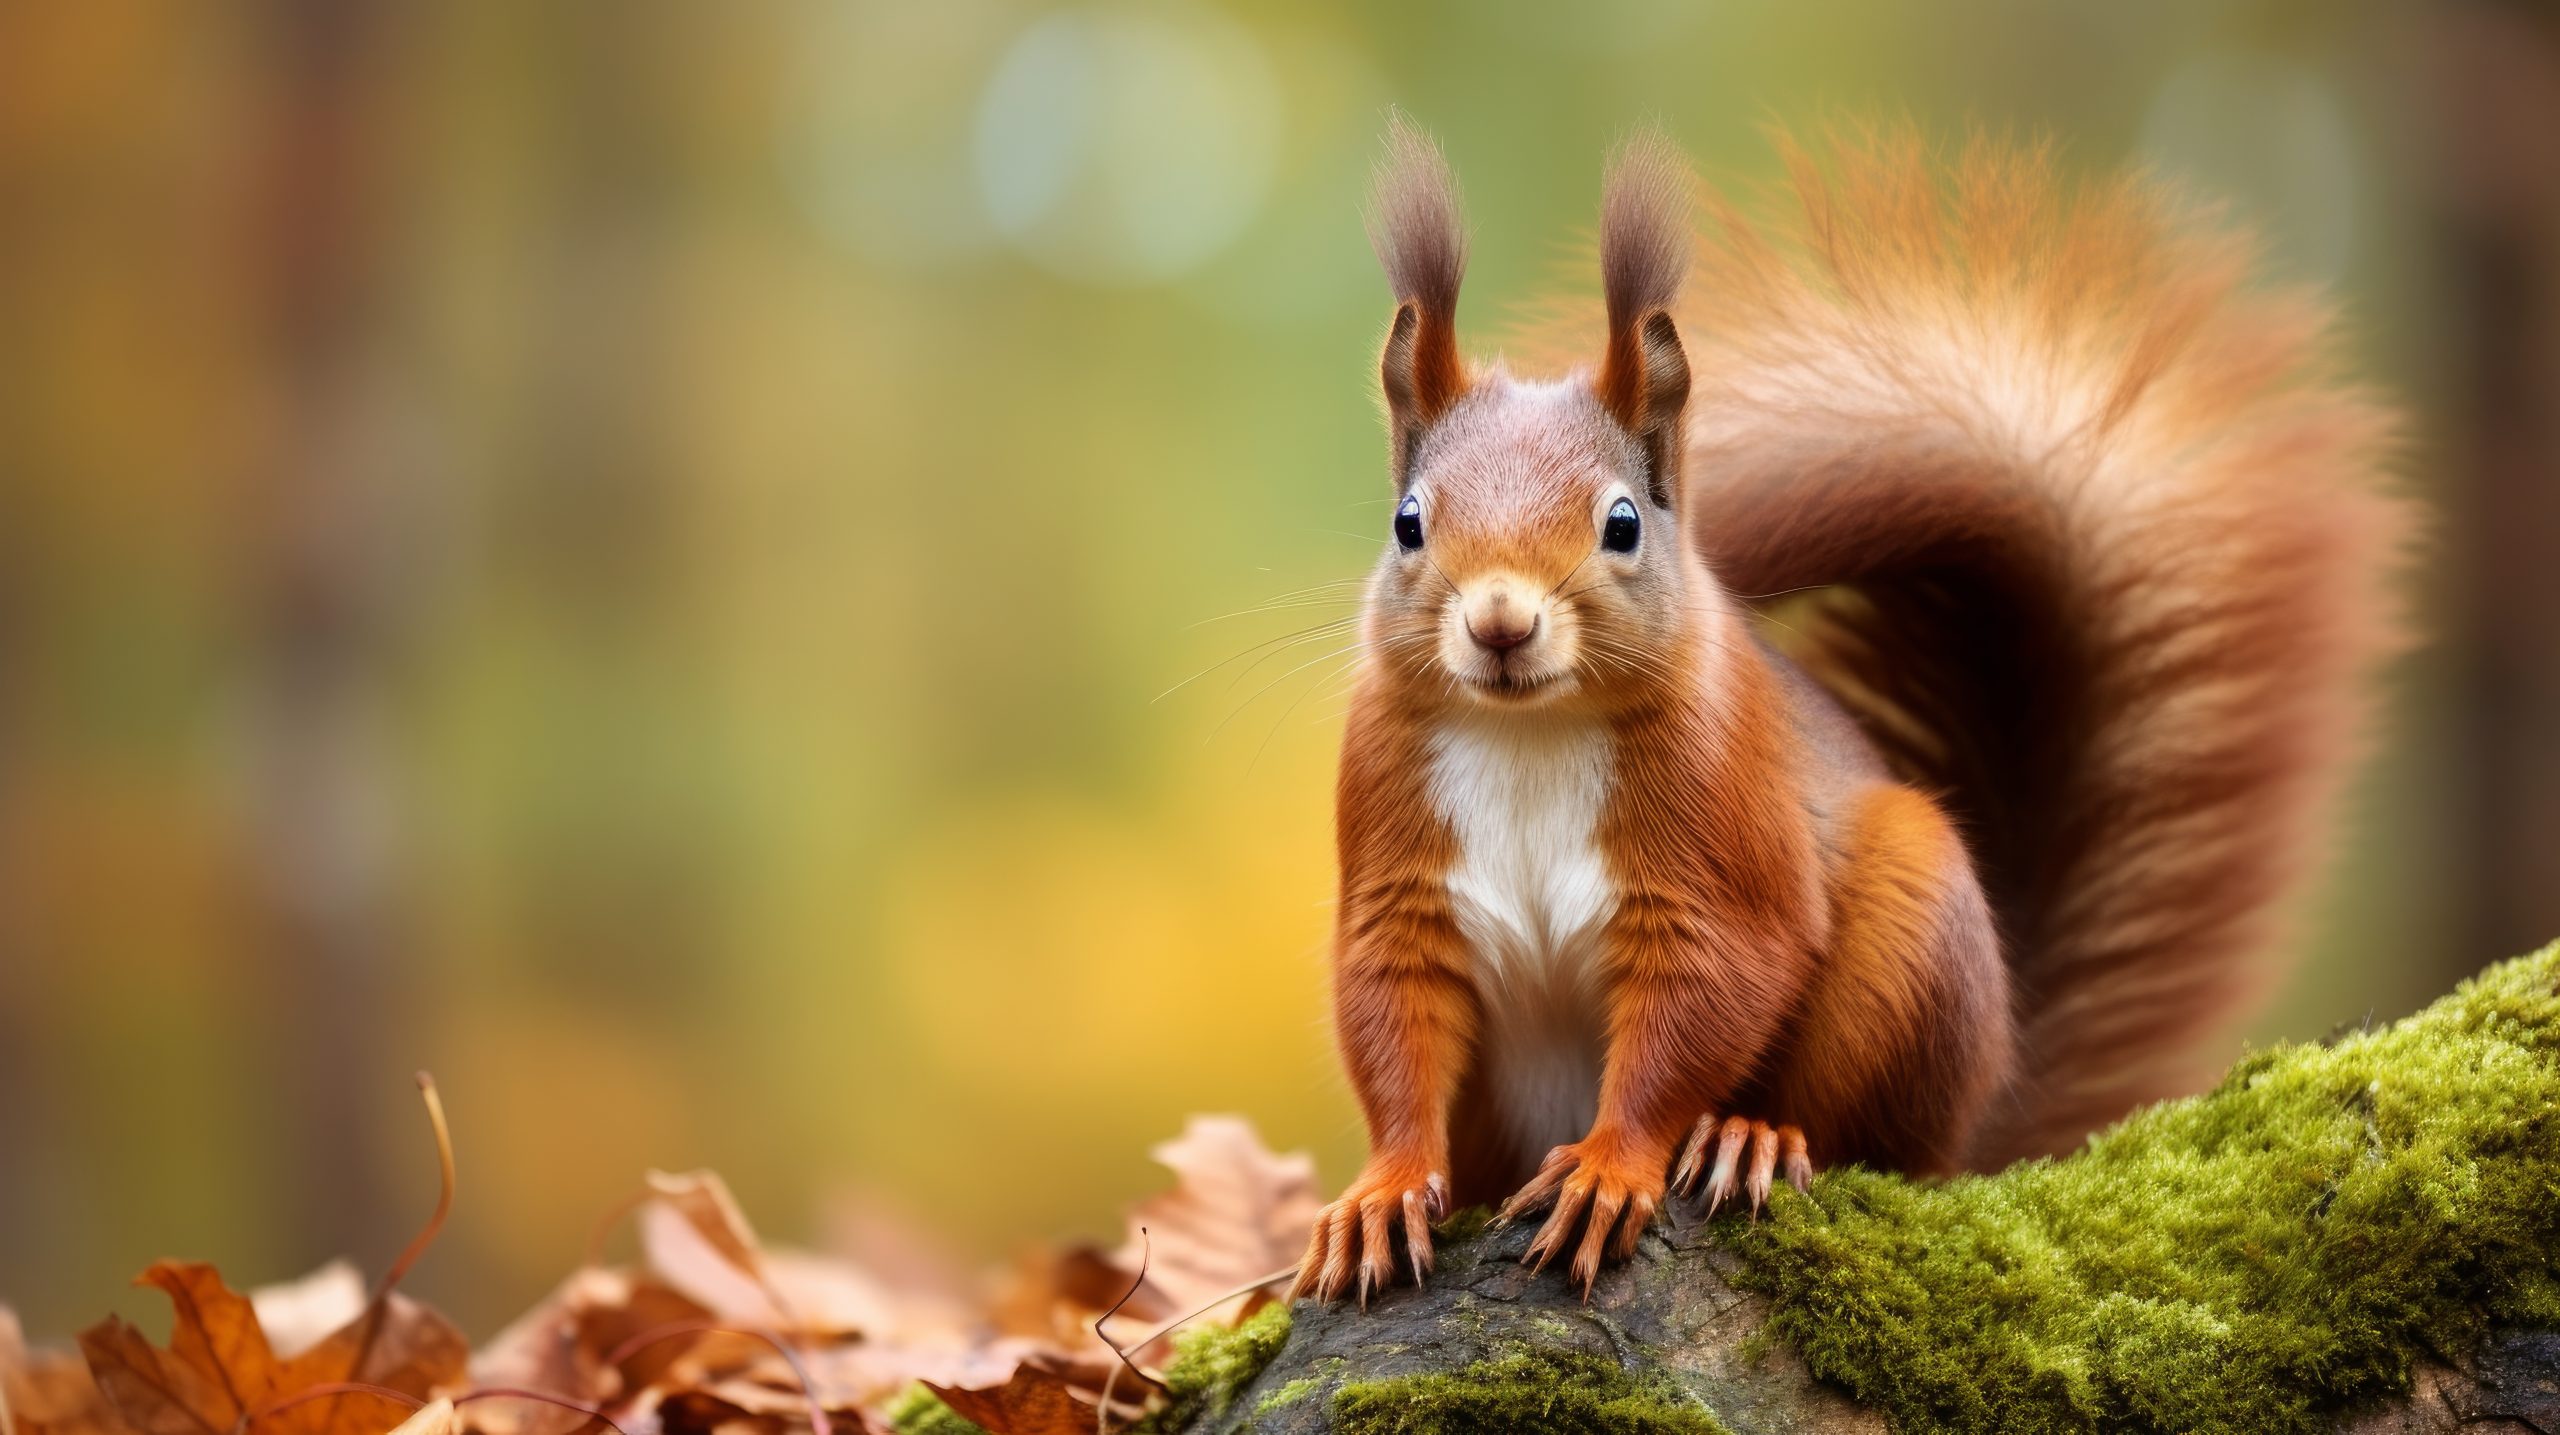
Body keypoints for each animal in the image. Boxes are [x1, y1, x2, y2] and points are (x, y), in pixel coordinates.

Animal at [1290, 119, 2408, 1304]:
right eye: (1409, 522)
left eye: (1623, 523)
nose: (1499, 621)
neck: (1528, 732)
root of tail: (1984, 1106)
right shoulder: (1394, 853)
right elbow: (1390, 1018)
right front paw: (1381, 1191)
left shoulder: (1719, 833)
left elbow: (1703, 998)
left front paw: (1608, 1165)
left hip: (1910, 943)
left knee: (1859, 1141)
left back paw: (1755, 1138)